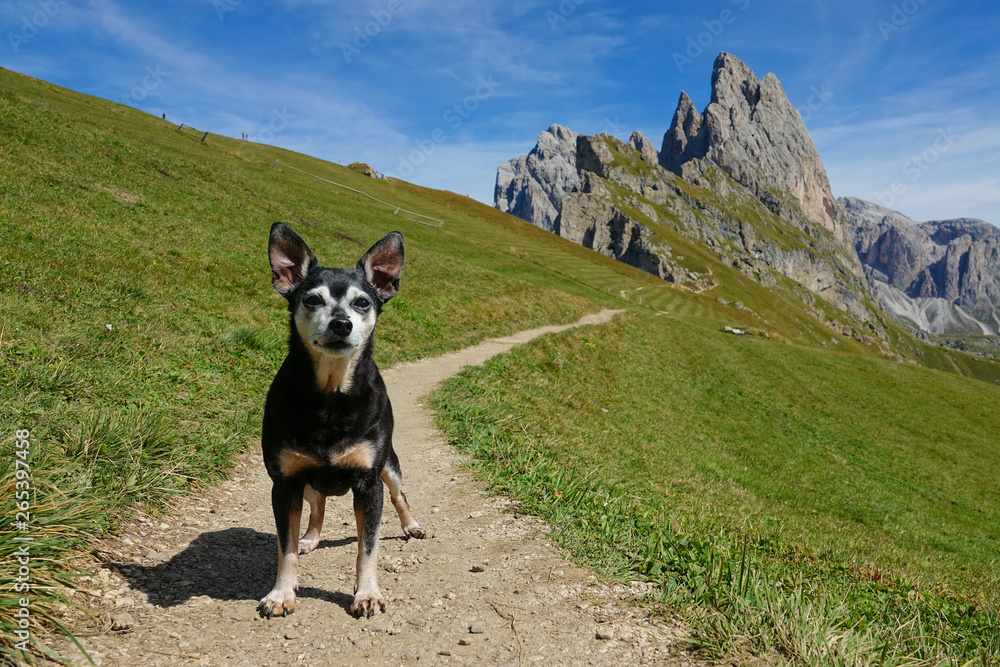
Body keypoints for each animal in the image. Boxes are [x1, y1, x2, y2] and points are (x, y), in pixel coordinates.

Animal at [256, 223, 424, 620]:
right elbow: (285, 546)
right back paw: (311, 538)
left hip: (389, 465)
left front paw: (367, 593)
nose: (341, 324)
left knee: (399, 494)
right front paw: (281, 594)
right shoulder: (284, 483)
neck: (331, 397)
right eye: (312, 300)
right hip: (308, 480)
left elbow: (368, 546)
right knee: (317, 507)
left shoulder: (368, 483)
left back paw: (411, 525)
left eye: (363, 302)